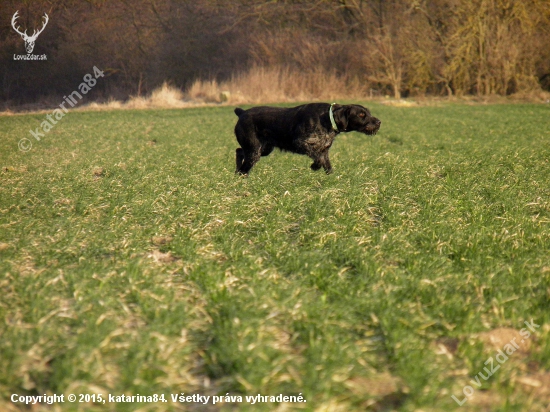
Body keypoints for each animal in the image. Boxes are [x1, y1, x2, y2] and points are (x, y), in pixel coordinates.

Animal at [233, 103, 381, 175]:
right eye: (361, 115)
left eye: (368, 113)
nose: (379, 122)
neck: (328, 119)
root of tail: (242, 113)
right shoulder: (301, 143)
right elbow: (318, 159)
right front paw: (314, 167)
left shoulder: (324, 150)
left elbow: (327, 165)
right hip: (255, 151)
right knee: (243, 167)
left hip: (263, 149)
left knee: (239, 151)